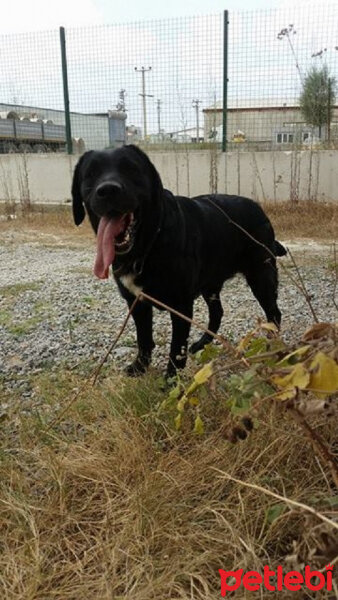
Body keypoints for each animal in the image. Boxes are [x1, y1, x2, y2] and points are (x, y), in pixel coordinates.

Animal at [70, 146, 286, 378]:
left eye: (131, 169)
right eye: (90, 174)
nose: (108, 190)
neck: (148, 245)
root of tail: (258, 208)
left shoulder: (180, 305)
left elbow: (176, 349)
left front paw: (171, 381)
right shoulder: (136, 302)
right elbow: (143, 338)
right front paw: (140, 367)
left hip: (261, 277)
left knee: (274, 314)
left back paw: (273, 349)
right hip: (210, 285)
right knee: (217, 313)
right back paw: (202, 344)